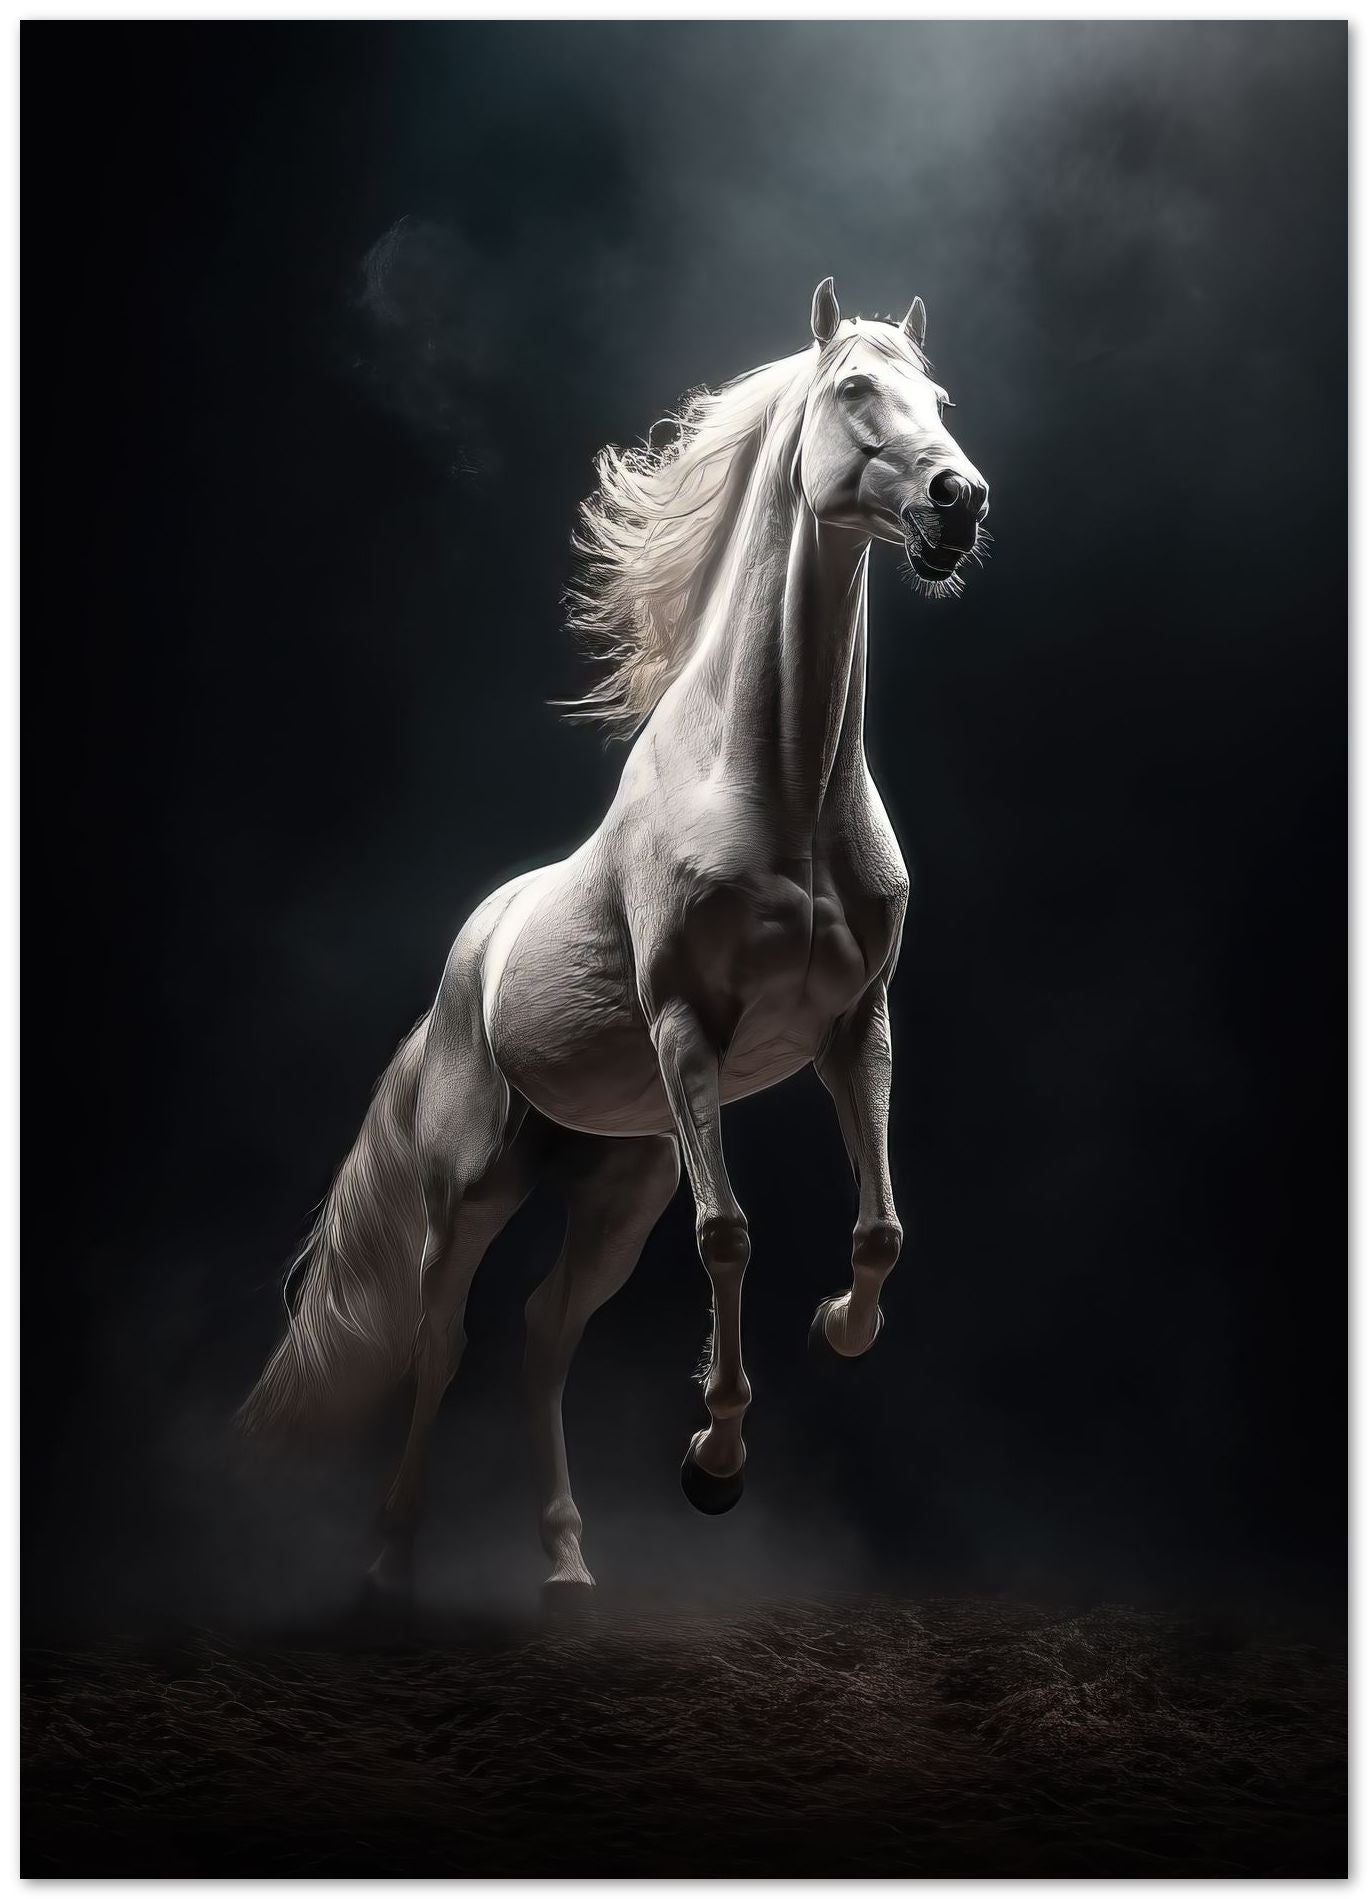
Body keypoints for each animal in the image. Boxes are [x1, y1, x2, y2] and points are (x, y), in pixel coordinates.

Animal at [239, 277, 990, 1601]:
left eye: (939, 397)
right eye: (857, 388)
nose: (962, 502)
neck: (780, 787)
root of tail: (462, 970)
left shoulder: (856, 1028)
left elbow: (881, 1228)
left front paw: (827, 1339)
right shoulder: (687, 1028)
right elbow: (731, 1237)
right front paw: (718, 1460)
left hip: (618, 1183)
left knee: (543, 1339)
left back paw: (566, 1565)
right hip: (472, 1189)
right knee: (440, 1343)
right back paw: (387, 1558)